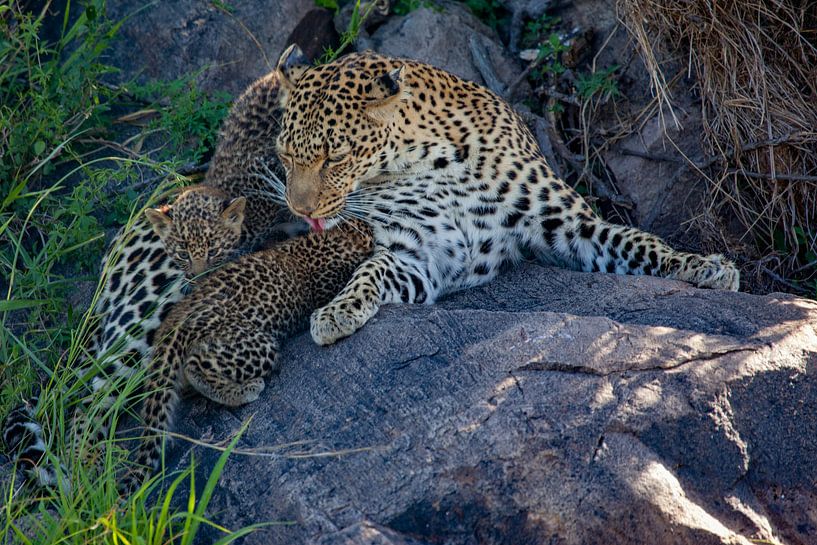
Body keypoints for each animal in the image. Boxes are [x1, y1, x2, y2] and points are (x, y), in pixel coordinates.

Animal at [271, 45, 740, 347]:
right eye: (284, 155)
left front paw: (703, 266)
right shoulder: (422, 255)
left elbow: (641, 242)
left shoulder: (571, 225)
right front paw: (337, 310)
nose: (300, 209)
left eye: (335, 157)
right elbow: (370, 271)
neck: (428, 159)